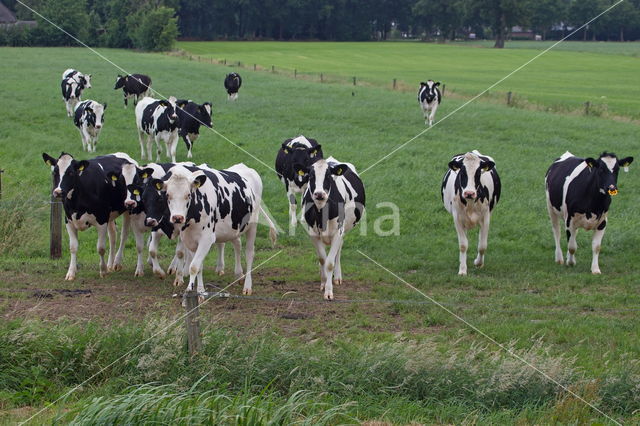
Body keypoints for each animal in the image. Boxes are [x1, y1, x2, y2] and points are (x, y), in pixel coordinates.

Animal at [41, 151, 136, 282]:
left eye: (71, 172)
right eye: (55, 172)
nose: (58, 192)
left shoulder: (101, 220)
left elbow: (100, 248)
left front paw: (103, 271)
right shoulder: (69, 221)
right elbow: (73, 247)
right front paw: (71, 273)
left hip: (128, 209)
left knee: (124, 235)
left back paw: (116, 263)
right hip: (110, 215)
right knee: (113, 236)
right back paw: (110, 265)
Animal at [155, 163, 278, 300]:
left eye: (188, 195)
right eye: (167, 195)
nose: (177, 218)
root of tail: (245, 167)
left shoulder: (206, 239)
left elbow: (194, 266)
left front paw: (193, 291)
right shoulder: (189, 240)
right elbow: (198, 266)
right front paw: (199, 290)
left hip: (252, 226)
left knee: (249, 254)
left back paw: (247, 286)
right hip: (233, 227)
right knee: (237, 245)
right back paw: (239, 275)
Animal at [296, 156, 364, 300]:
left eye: (328, 176)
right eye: (310, 176)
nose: (319, 194)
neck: (322, 213)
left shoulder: (338, 232)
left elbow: (330, 263)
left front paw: (328, 291)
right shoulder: (313, 233)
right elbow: (322, 259)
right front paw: (323, 283)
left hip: (343, 229)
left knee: (338, 250)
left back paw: (337, 277)